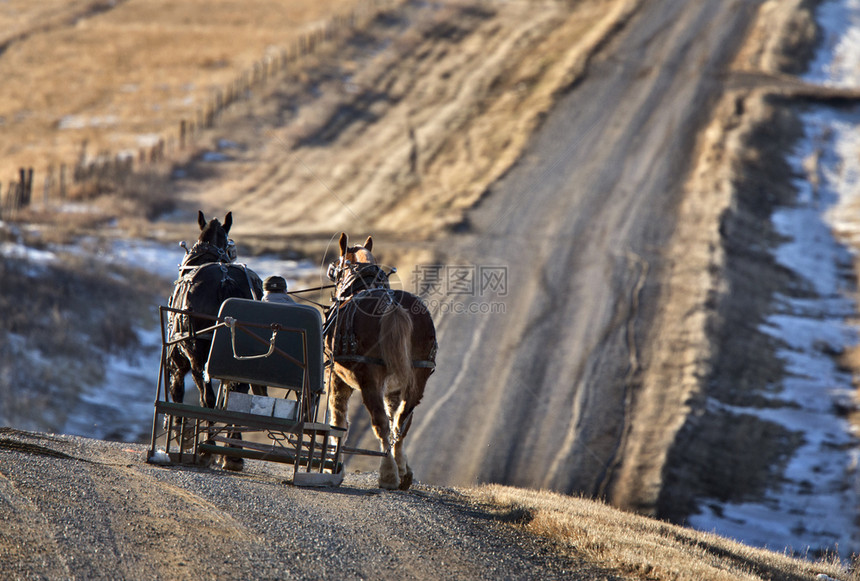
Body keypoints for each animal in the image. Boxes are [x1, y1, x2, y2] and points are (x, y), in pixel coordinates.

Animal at [166, 211, 264, 468]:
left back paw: (207, 449)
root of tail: (225, 278)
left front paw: (182, 436)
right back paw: (233, 454)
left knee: (207, 399)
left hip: (197, 355)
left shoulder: (180, 359)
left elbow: (178, 390)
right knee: (236, 398)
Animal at [328, 233, 440, 488]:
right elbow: (395, 418)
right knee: (401, 421)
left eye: (336, 267)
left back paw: (388, 474)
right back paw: (401, 471)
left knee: (380, 422)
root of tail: (393, 305)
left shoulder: (338, 376)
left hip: (369, 378)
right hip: (417, 377)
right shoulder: (395, 388)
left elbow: (338, 420)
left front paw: (332, 465)